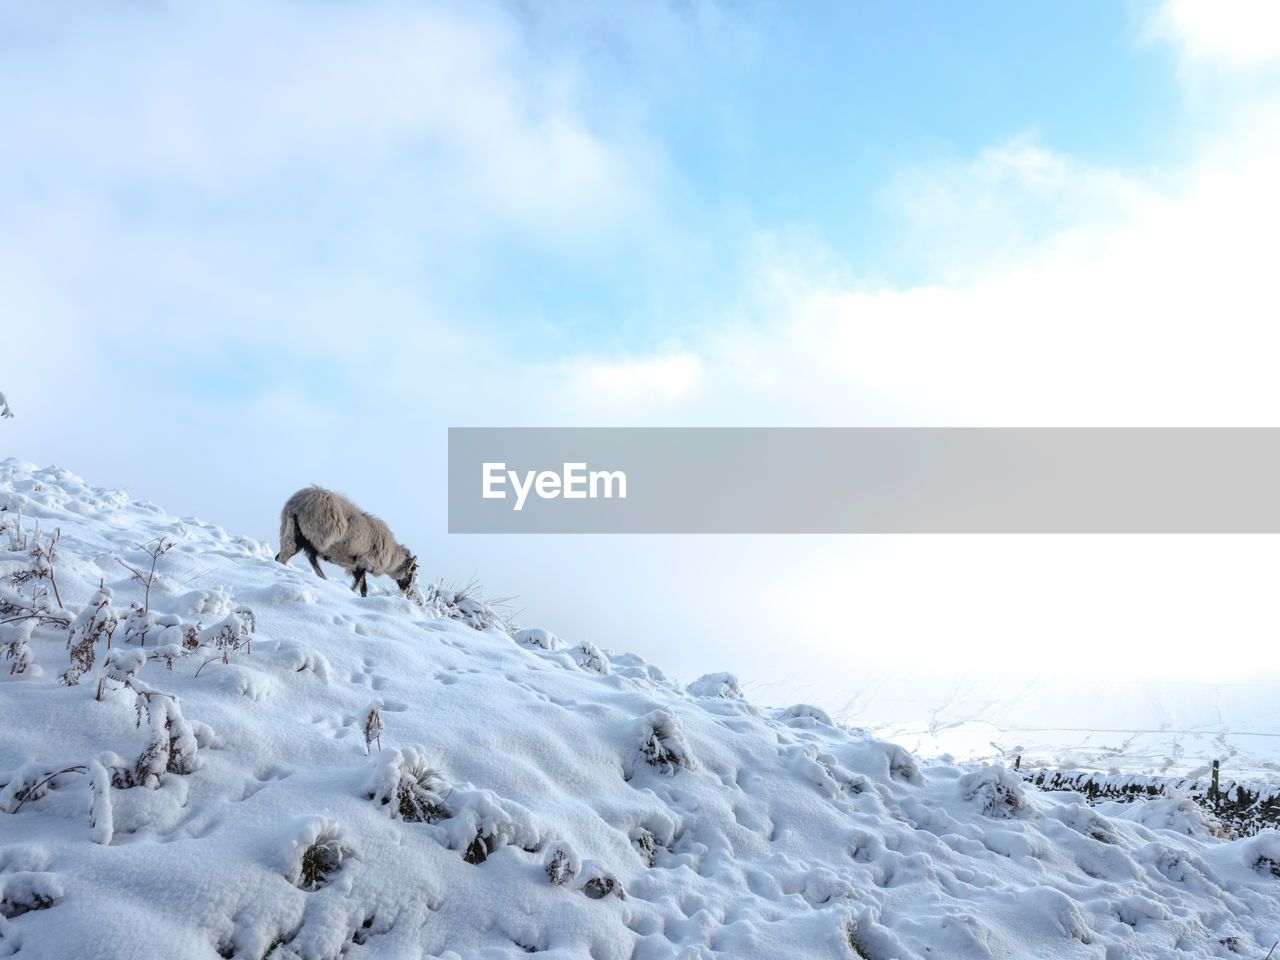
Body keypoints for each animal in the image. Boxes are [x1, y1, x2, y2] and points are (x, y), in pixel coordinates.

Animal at [276, 483, 419, 599]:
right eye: (411, 573)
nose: (407, 591)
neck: (391, 558)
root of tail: (298, 502)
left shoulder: (358, 566)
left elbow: (363, 587)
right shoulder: (362, 563)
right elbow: (360, 586)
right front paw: (350, 593)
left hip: (292, 532)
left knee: (295, 557)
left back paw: (321, 577)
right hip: (313, 537)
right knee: (298, 557)